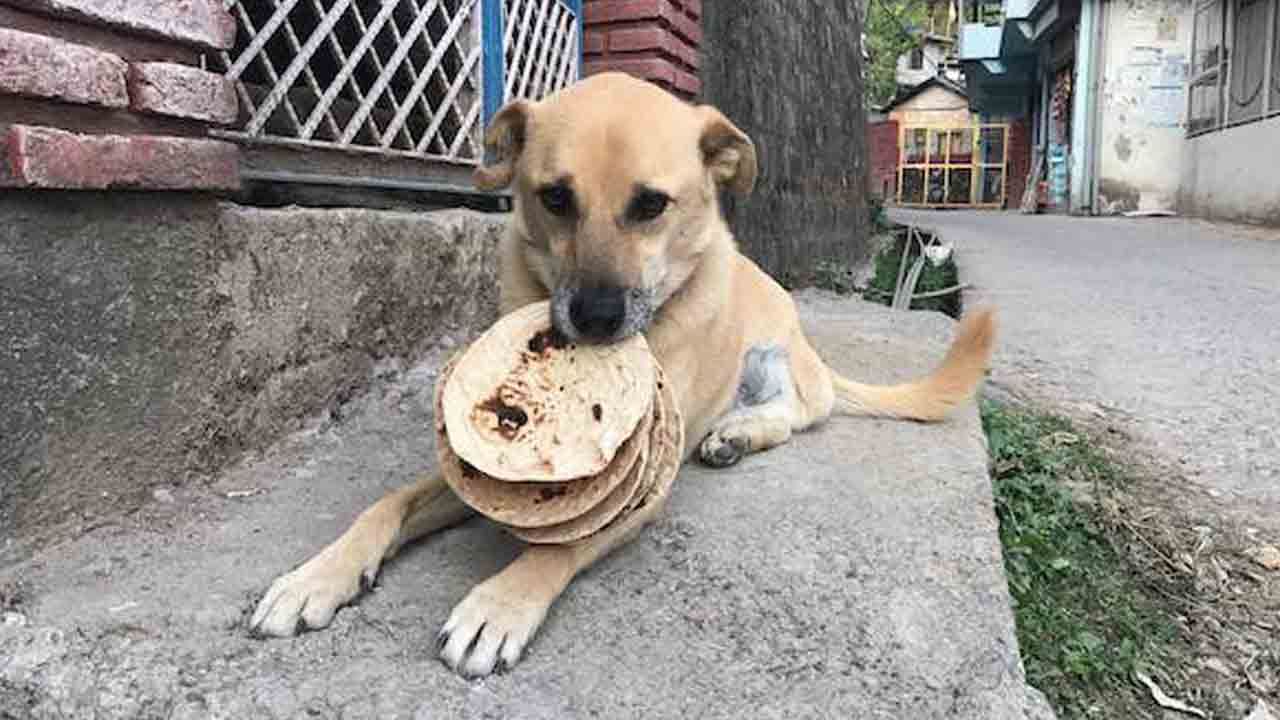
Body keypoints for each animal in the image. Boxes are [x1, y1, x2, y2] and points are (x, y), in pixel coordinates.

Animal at [247, 70, 988, 676]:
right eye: (553, 197)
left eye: (651, 205)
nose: (596, 318)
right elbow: (388, 503)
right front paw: (318, 576)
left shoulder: (641, 488)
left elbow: (558, 548)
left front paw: (500, 603)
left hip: (777, 350)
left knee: (803, 411)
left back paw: (738, 433)